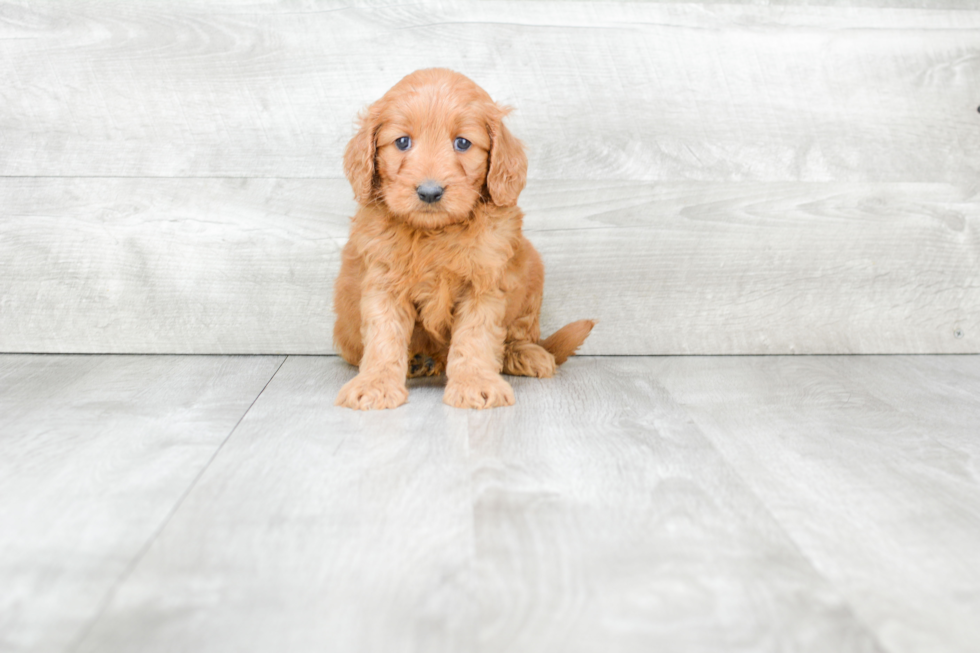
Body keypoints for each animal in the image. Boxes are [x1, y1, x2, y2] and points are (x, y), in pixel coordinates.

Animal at [334, 70, 592, 408]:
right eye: (402, 141)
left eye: (462, 143)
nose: (430, 192)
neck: (435, 232)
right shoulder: (384, 281)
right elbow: (384, 337)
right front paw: (375, 384)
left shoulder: (484, 282)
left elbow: (475, 337)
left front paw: (475, 383)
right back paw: (419, 361)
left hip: (532, 268)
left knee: (521, 331)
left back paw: (524, 353)